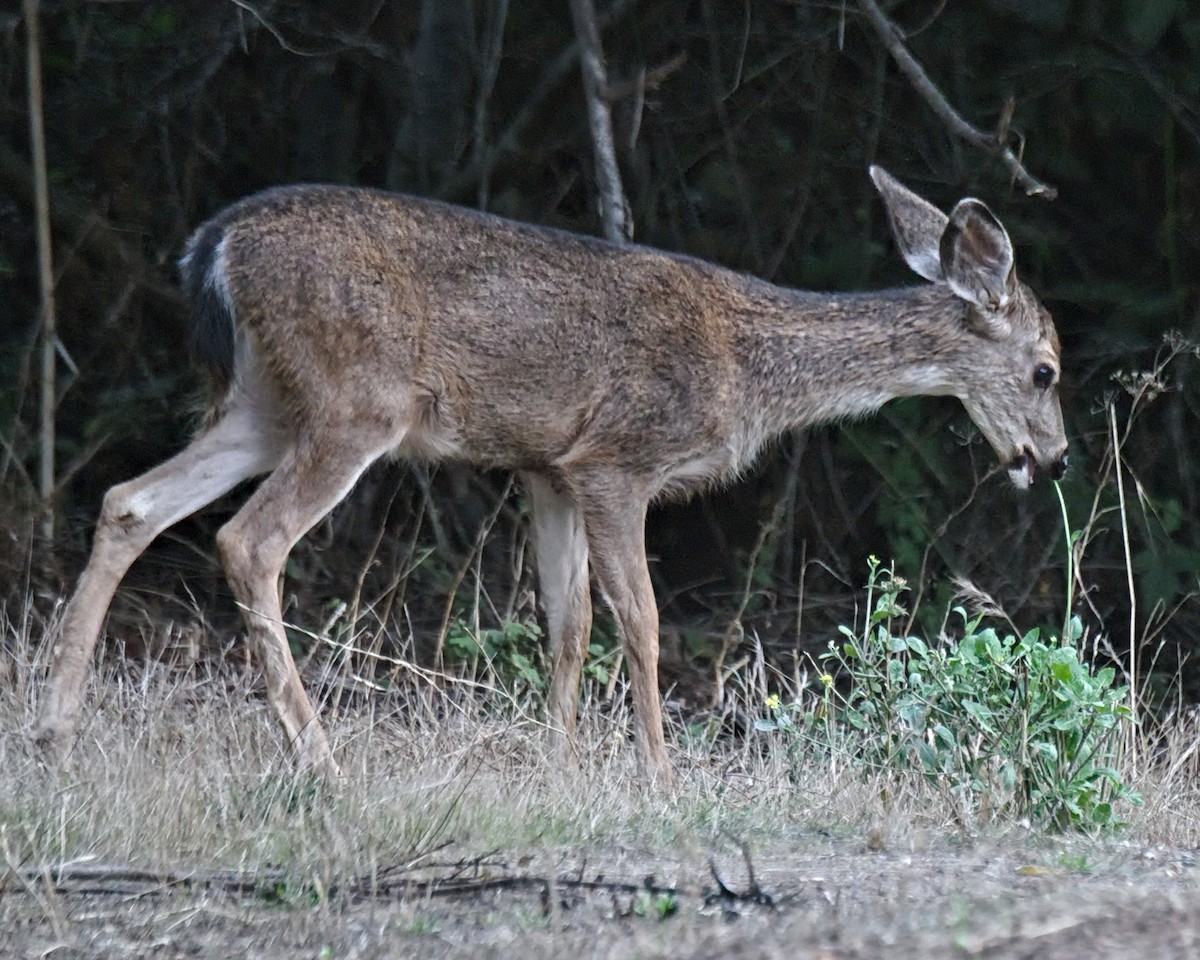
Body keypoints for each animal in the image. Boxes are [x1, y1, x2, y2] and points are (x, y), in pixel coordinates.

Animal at [34, 167, 1067, 787]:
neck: (749, 369)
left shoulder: (545, 467)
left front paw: (562, 763)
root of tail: (214, 245)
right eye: (1048, 370)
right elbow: (640, 621)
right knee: (246, 539)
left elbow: (566, 623)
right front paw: (658, 775)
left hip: (265, 402)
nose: (1051, 459)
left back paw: (56, 728)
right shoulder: (618, 458)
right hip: (354, 402)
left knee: (130, 500)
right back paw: (319, 757)